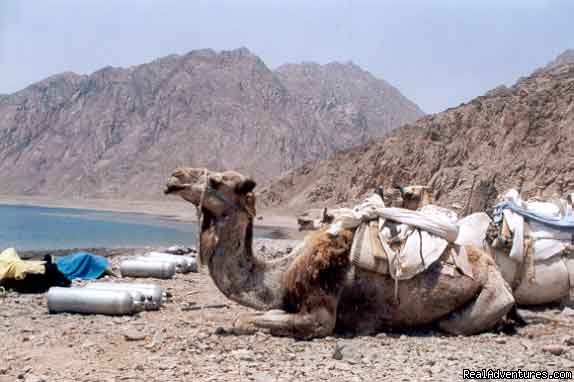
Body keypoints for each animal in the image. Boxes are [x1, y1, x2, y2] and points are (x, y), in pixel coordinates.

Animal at [164, 167, 516, 338]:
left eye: (214, 181)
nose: (174, 177)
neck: (280, 274)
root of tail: (491, 266)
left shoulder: (320, 314)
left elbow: (243, 318)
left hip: (491, 295)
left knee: (453, 324)